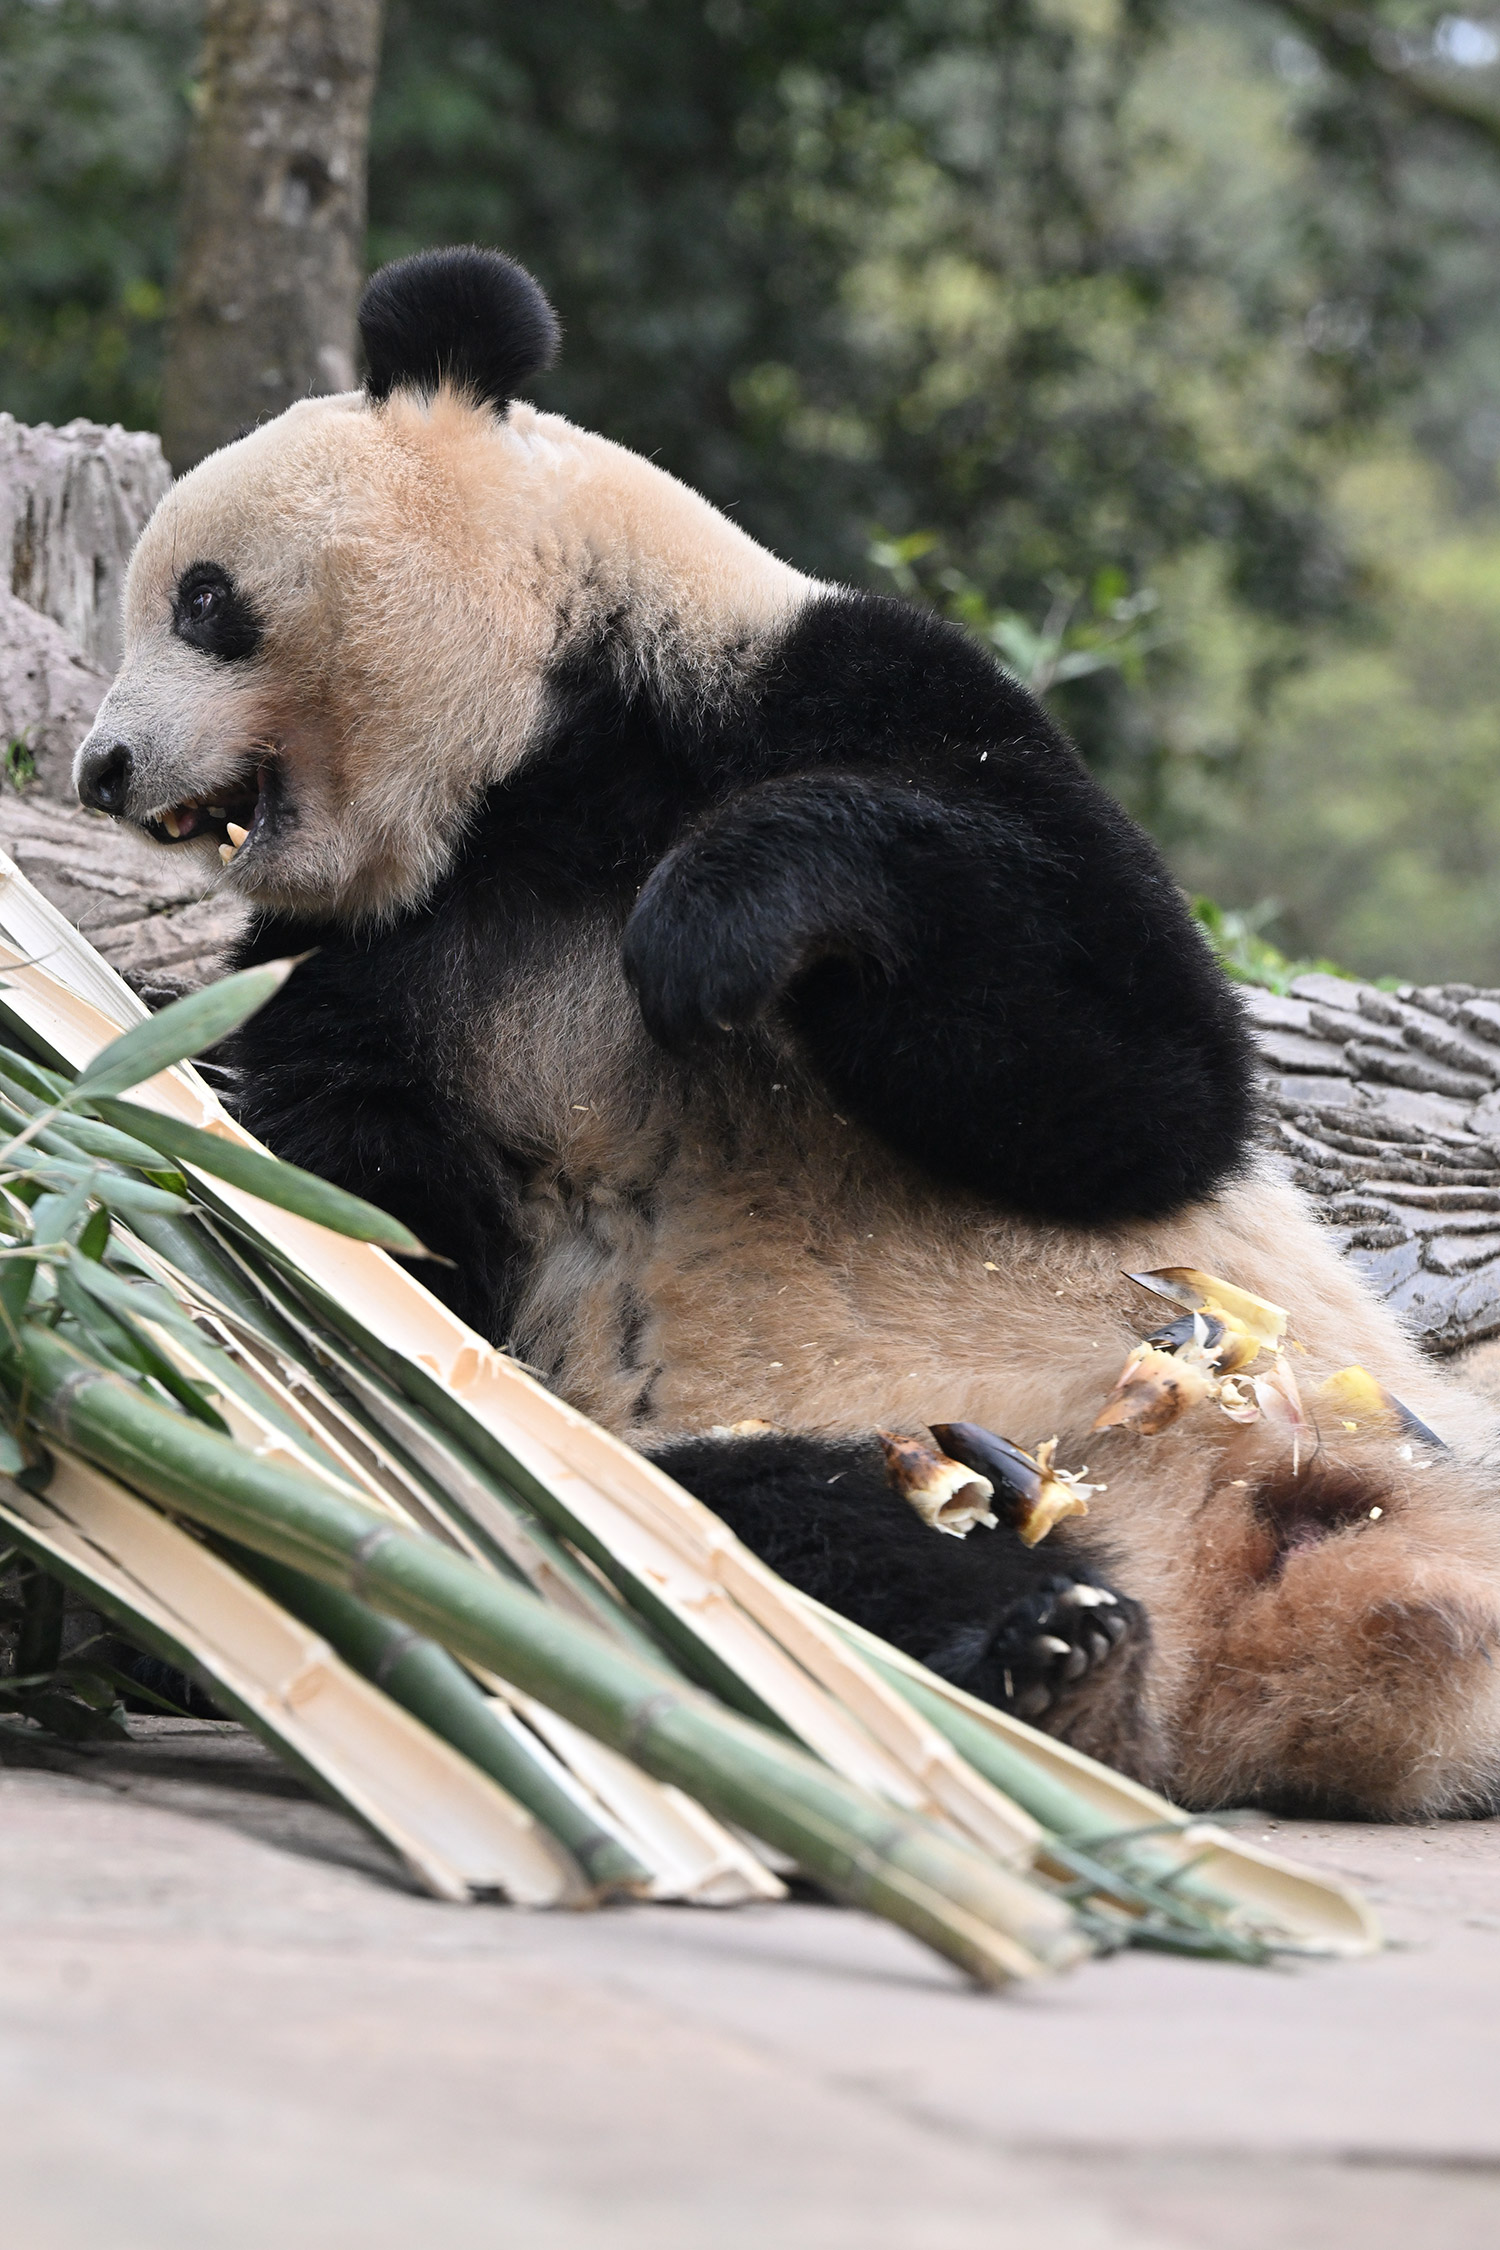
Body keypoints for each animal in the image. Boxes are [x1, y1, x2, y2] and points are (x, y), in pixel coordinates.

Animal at [74, 247, 1500, 1818]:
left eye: (205, 597)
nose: (100, 768)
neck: (512, 799)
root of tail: (1274, 1649)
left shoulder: (825, 683)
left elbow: (1140, 1085)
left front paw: (711, 929)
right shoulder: (354, 967)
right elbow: (381, 1225)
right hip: (757, 1446)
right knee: (740, 1526)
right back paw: (1047, 1642)